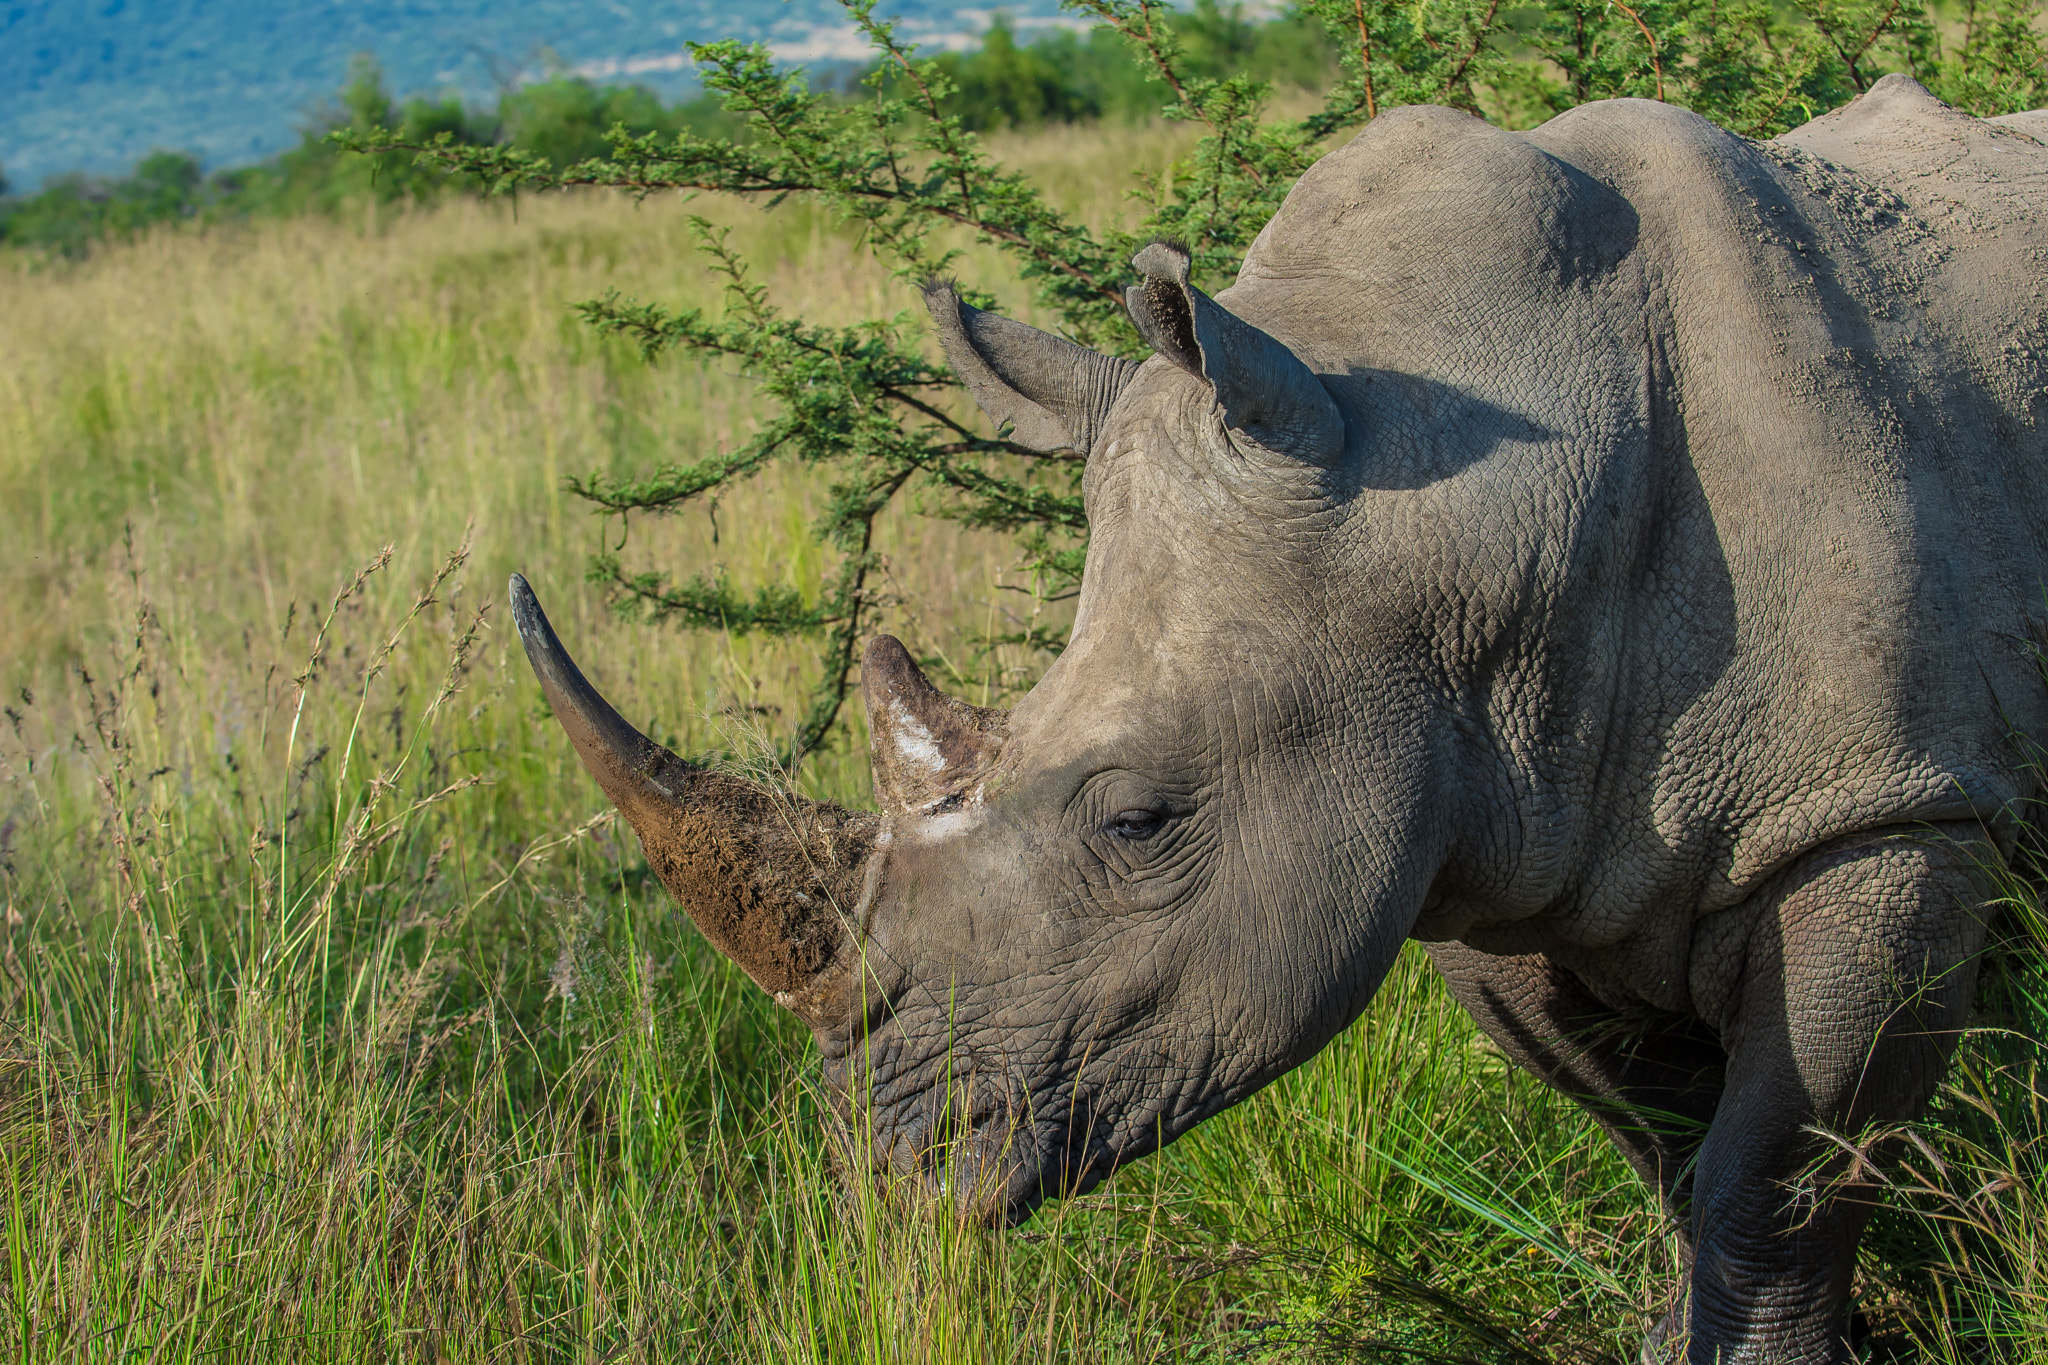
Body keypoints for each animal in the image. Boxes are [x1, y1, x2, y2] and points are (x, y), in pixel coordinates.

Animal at [509, 75, 2048, 1362]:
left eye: (1140, 822)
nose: (890, 1171)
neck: (1471, 484)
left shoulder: (1880, 811)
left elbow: (1769, 1196)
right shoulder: (1503, 836)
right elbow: (1667, 1153)